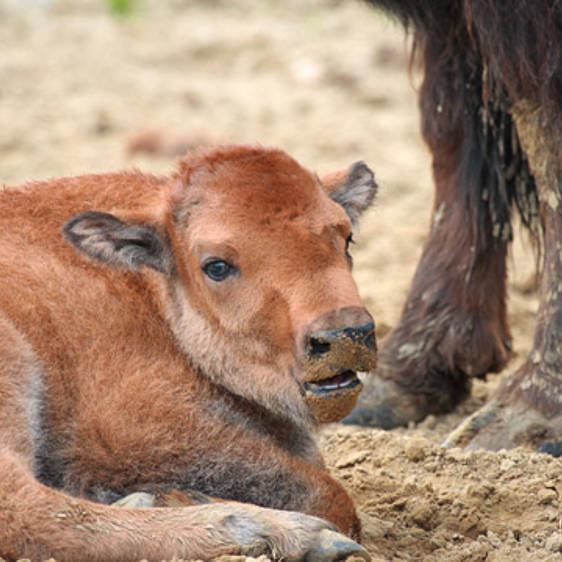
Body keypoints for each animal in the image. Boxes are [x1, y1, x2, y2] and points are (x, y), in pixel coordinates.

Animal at [0, 145, 378, 560]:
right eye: (217, 266)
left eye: (347, 238)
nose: (345, 336)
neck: (152, 293)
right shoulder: (140, 425)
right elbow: (327, 493)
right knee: (25, 509)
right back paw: (287, 533)